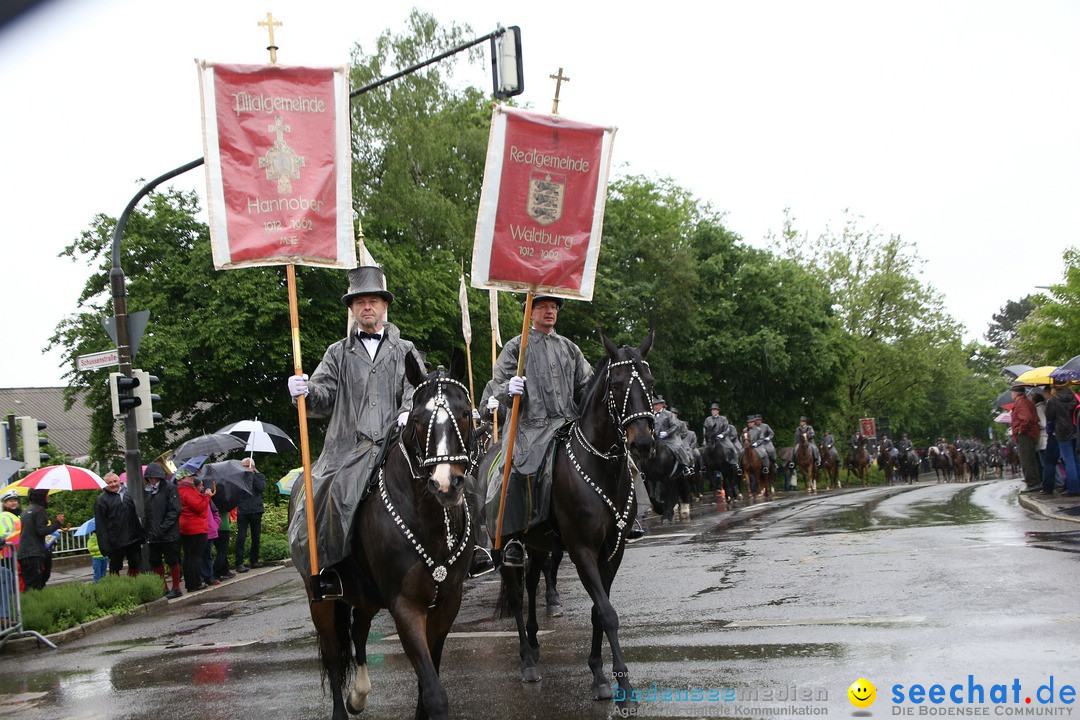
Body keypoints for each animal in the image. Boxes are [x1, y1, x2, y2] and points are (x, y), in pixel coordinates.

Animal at [291, 349, 473, 720]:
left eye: (464, 412)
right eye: (417, 418)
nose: (446, 483)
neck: (429, 522)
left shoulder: (447, 603)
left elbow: (427, 681)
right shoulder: (405, 605)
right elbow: (434, 692)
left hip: (366, 596)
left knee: (359, 632)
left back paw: (359, 695)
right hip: (321, 600)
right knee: (334, 655)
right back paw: (342, 708)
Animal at [486, 332, 652, 716]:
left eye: (649, 383)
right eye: (617, 384)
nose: (643, 442)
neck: (600, 467)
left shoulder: (613, 551)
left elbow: (597, 611)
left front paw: (599, 674)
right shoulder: (581, 550)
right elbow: (607, 613)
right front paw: (623, 686)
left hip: (537, 544)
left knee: (532, 583)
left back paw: (535, 642)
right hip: (504, 550)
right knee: (516, 594)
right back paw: (527, 661)